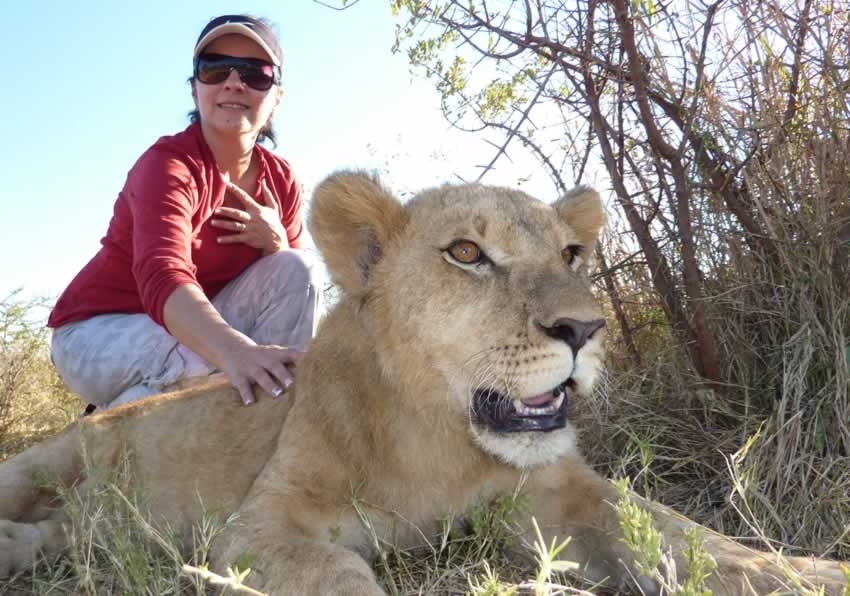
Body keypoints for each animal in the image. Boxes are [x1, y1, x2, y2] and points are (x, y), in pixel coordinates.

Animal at [0, 171, 845, 595]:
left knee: (62, 534)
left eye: (572, 253)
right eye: (467, 253)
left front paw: (810, 573)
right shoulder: (255, 525)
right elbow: (340, 576)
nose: (584, 329)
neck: (433, 437)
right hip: (44, 461)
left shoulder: (556, 494)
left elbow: (691, 539)